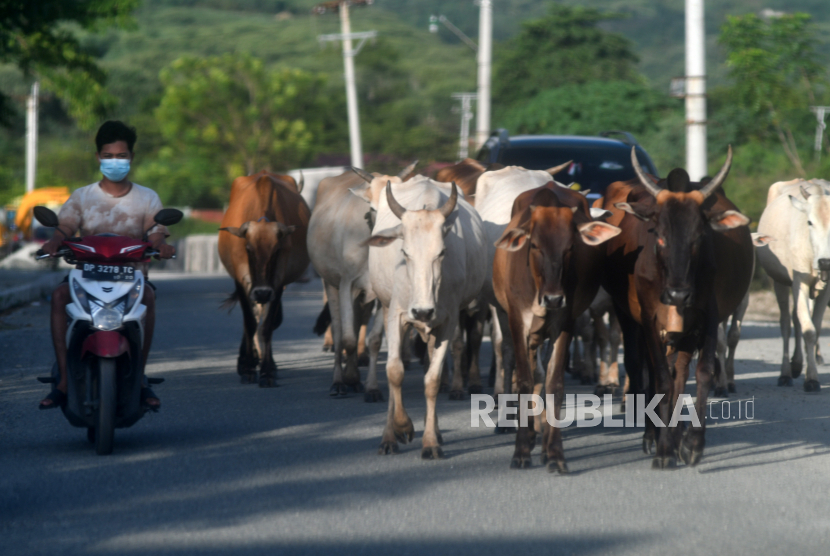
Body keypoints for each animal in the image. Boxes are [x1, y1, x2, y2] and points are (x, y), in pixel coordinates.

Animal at [219, 173, 310, 386]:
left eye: (276, 250)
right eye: (248, 248)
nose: (261, 292)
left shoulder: (277, 283)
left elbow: (267, 326)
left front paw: (267, 371)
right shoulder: (242, 280)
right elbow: (250, 323)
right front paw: (248, 367)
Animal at [366, 176, 488, 458]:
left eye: (441, 252)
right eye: (405, 252)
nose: (423, 310)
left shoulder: (448, 322)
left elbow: (432, 380)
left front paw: (430, 441)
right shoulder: (397, 315)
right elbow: (394, 371)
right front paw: (402, 427)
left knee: (432, 363)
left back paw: (436, 431)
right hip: (386, 308)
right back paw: (388, 437)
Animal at [494, 185, 624, 472]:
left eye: (571, 247)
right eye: (534, 245)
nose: (553, 298)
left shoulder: (564, 324)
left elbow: (554, 384)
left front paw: (554, 453)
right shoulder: (517, 322)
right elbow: (524, 380)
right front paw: (521, 451)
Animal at [600, 146, 752, 466]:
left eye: (699, 236)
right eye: (658, 234)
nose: (678, 295)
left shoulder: (707, 317)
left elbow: (702, 372)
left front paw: (691, 443)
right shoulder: (649, 319)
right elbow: (660, 377)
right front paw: (663, 449)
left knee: (679, 373)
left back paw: (675, 432)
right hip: (628, 316)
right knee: (643, 367)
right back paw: (652, 435)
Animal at [756, 178, 830, 390]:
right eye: (810, 222)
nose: (825, 262)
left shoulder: (826, 289)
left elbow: (815, 328)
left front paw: (809, 373)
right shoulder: (800, 281)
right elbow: (808, 331)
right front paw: (812, 379)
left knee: (797, 320)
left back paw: (797, 365)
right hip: (779, 281)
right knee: (786, 324)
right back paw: (786, 373)